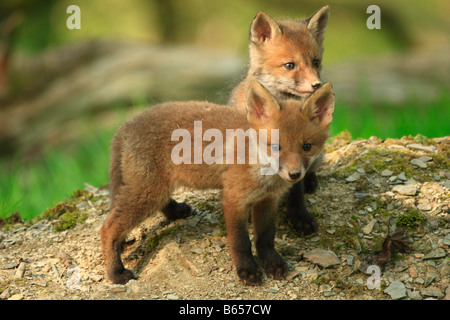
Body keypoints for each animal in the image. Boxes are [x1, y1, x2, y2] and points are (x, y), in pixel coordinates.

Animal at [101, 80, 334, 284]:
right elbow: (241, 242)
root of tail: (126, 125)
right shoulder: (233, 199)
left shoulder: (267, 200)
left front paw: (273, 264)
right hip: (147, 192)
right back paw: (116, 272)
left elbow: (265, 238)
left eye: (306, 146)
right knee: (107, 228)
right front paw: (247, 271)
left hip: (156, 187)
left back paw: (176, 211)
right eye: (276, 147)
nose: (294, 175)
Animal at [229, 6, 330, 238]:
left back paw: (311, 179)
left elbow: (295, 190)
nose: (317, 85)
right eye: (289, 65)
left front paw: (300, 217)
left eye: (316, 62)